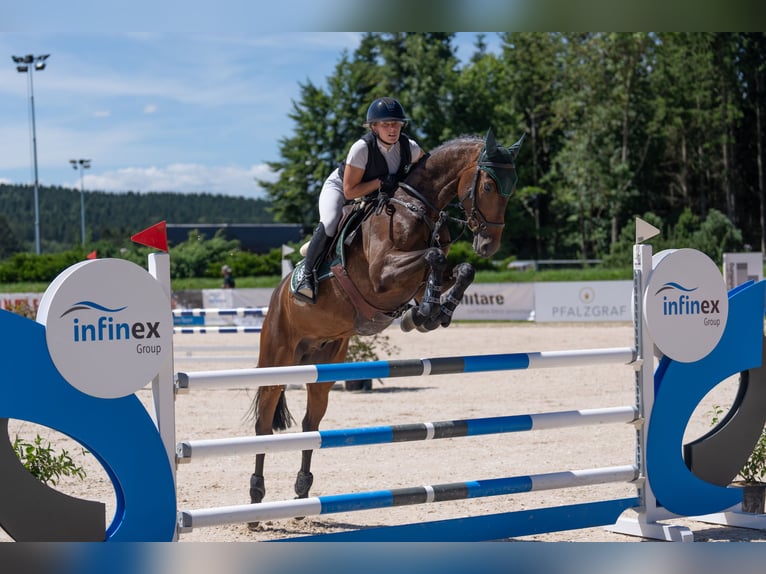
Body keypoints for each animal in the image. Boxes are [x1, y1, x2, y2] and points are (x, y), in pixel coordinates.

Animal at [249, 127, 524, 528]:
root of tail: (278, 295)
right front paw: (423, 313)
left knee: (310, 423)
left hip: (323, 365)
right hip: (277, 357)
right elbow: (434, 256)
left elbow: (459, 269)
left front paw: (431, 313)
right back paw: (255, 502)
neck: (417, 208)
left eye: (511, 186)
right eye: (488, 185)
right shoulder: (382, 275)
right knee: (264, 425)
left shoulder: (417, 277)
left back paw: (301, 493)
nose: (489, 244)